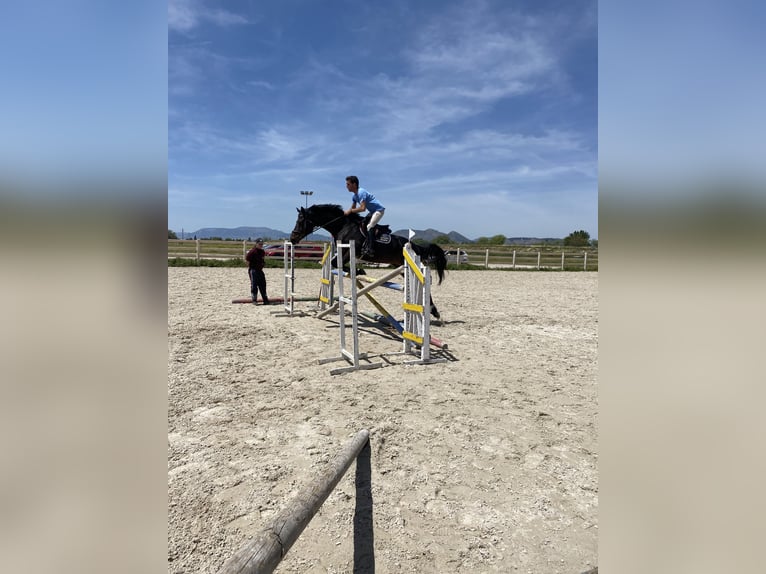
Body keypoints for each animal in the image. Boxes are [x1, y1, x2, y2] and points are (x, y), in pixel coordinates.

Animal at [292, 202, 450, 320]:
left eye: (300, 221)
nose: (293, 238)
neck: (343, 226)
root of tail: (413, 245)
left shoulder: (349, 251)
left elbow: (337, 264)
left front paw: (359, 270)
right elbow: (335, 264)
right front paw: (359, 270)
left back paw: (434, 311)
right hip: (400, 266)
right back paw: (430, 310)